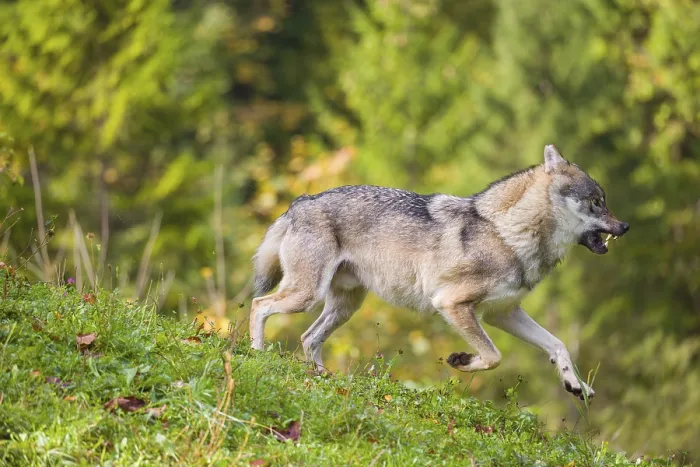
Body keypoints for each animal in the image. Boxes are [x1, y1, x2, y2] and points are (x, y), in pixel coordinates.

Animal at [249, 145, 629, 399]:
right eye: (596, 202)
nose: (625, 226)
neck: (505, 233)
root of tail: (301, 201)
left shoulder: (503, 314)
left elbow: (558, 344)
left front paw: (575, 384)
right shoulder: (452, 304)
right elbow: (493, 357)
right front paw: (461, 360)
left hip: (343, 306)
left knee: (308, 337)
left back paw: (323, 378)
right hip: (307, 295)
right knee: (259, 305)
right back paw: (256, 353)